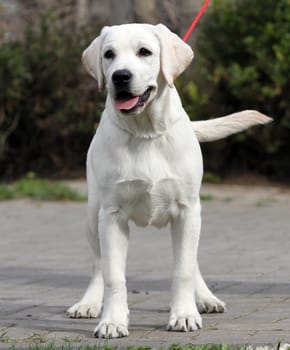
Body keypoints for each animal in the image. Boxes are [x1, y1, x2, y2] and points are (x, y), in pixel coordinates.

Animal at [67, 22, 272, 340]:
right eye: (108, 54)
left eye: (145, 52)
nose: (120, 76)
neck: (146, 132)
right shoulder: (111, 215)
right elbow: (114, 275)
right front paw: (112, 321)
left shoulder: (187, 210)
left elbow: (183, 269)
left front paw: (185, 315)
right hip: (92, 213)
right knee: (99, 264)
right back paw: (88, 303)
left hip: (193, 216)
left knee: (192, 259)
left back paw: (205, 298)